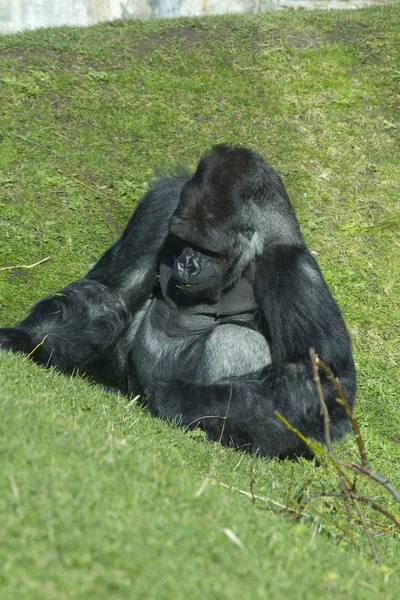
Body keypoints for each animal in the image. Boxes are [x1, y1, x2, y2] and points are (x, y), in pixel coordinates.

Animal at [0, 144, 356, 454]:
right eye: (184, 240)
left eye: (207, 249)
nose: (186, 263)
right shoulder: (161, 204)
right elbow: (111, 293)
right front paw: (25, 339)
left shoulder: (293, 268)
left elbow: (320, 382)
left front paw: (176, 397)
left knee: (233, 339)